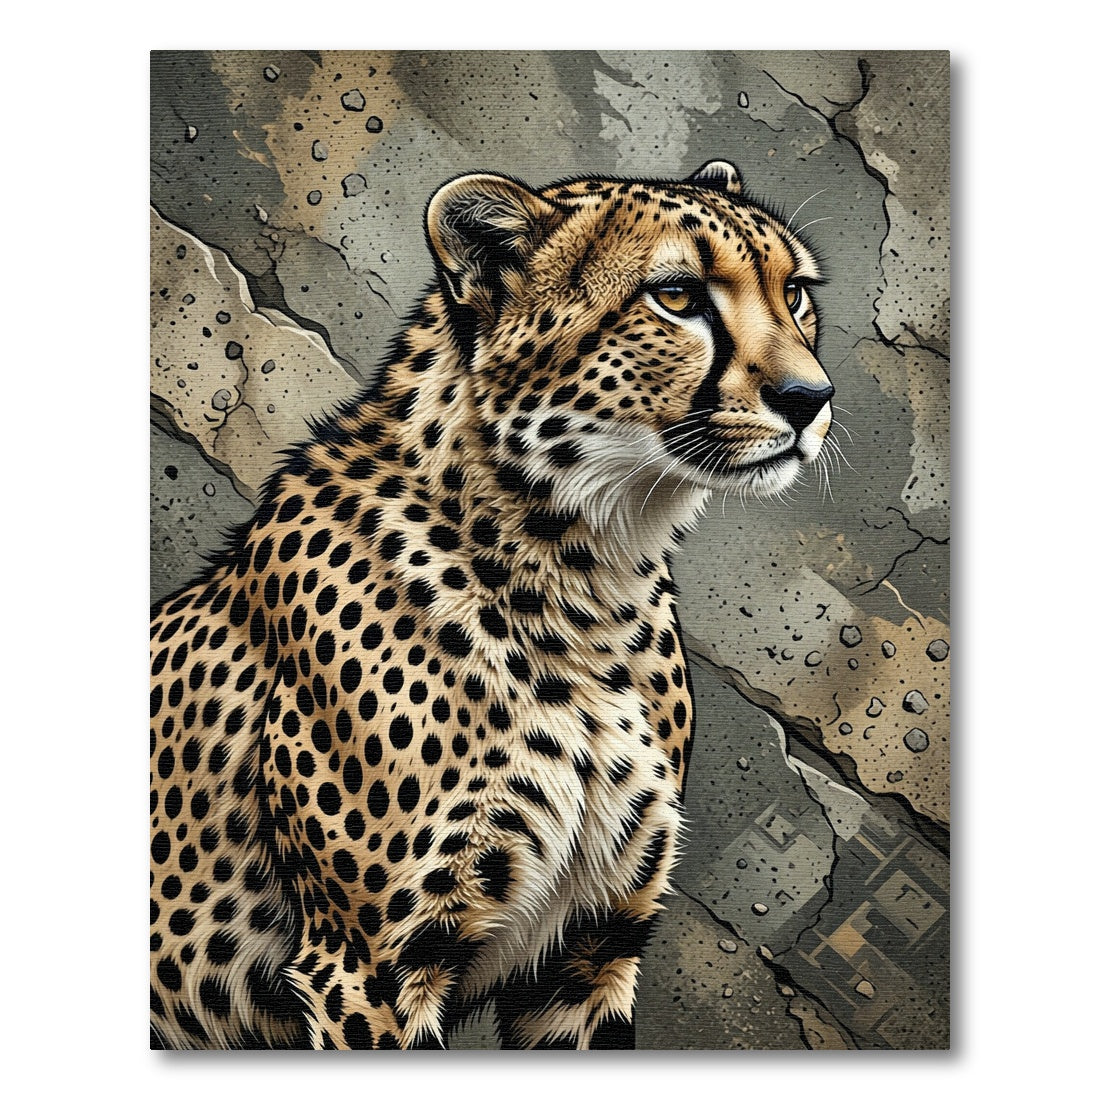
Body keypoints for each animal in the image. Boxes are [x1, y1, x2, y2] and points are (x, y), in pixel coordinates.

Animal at [149, 159, 834, 1050]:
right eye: (678, 296)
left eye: (797, 293)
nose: (810, 397)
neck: (589, 579)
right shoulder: (367, 965)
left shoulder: (588, 954)